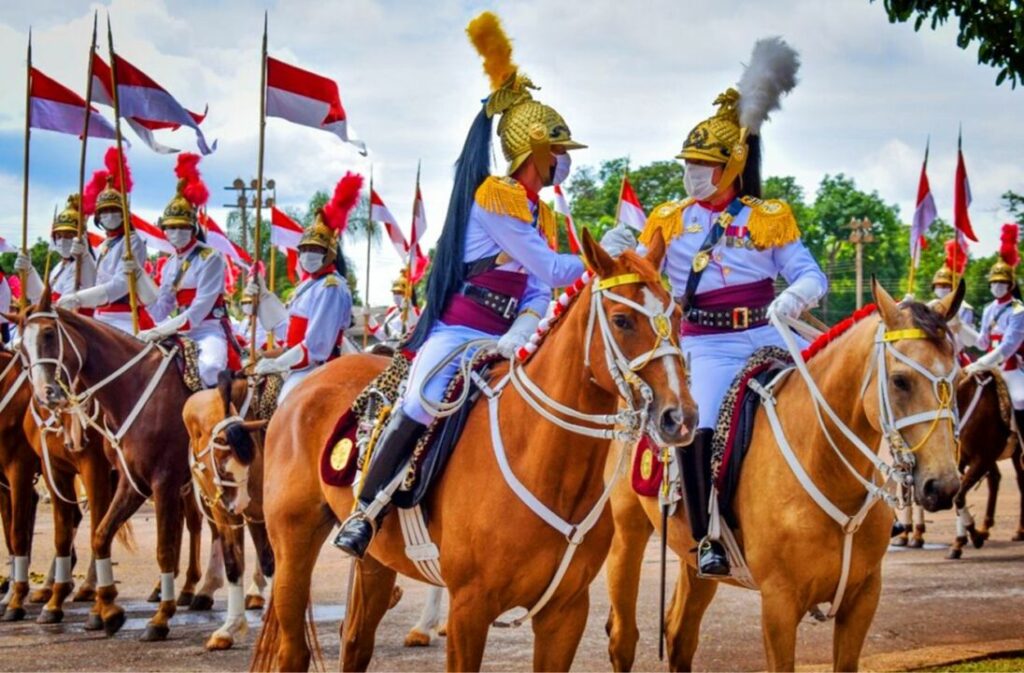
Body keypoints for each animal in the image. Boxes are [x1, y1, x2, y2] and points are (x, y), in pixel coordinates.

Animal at [15, 295, 195, 639]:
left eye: (49, 334)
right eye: (20, 348)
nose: (46, 394)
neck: (135, 389)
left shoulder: (158, 479)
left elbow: (162, 547)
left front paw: (159, 618)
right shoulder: (128, 480)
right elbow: (97, 534)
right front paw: (106, 608)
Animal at [252, 228, 696, 667]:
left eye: (677, 316)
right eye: (622, 320)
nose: (680, 417)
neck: (546, 466)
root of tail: (305, 384)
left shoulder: (566, 613)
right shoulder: (470, 609)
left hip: (375, 561)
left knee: (356, 643)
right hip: (293, 542)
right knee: (294, 649)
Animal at [606, 282, 966, 671]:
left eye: (957, 378)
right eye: (900, 381)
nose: (942, 485)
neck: (827, 470)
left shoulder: (864, 596)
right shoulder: (779, 603)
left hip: (693, 560)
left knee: (679, 634)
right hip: (626, 535)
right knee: (623, 637)